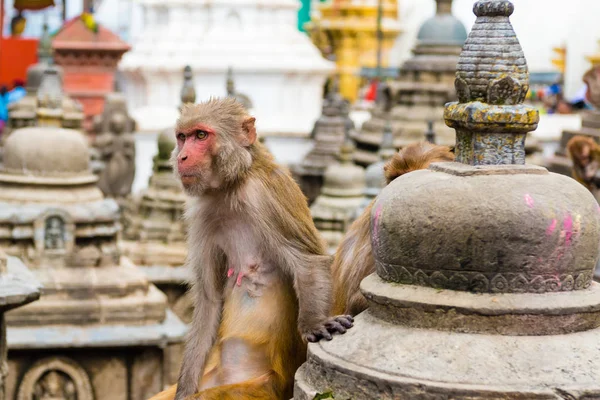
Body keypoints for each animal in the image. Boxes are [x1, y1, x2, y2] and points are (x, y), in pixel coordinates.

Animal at [150, 97, 354, 400]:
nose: (181, 157)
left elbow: (307, 261)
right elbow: (210, 299)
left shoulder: (266, 193)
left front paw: (314, 324)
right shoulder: (202, 215)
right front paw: (184, 390)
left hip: (261, 387)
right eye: (182, 137)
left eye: (201, 135)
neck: (231, 185)